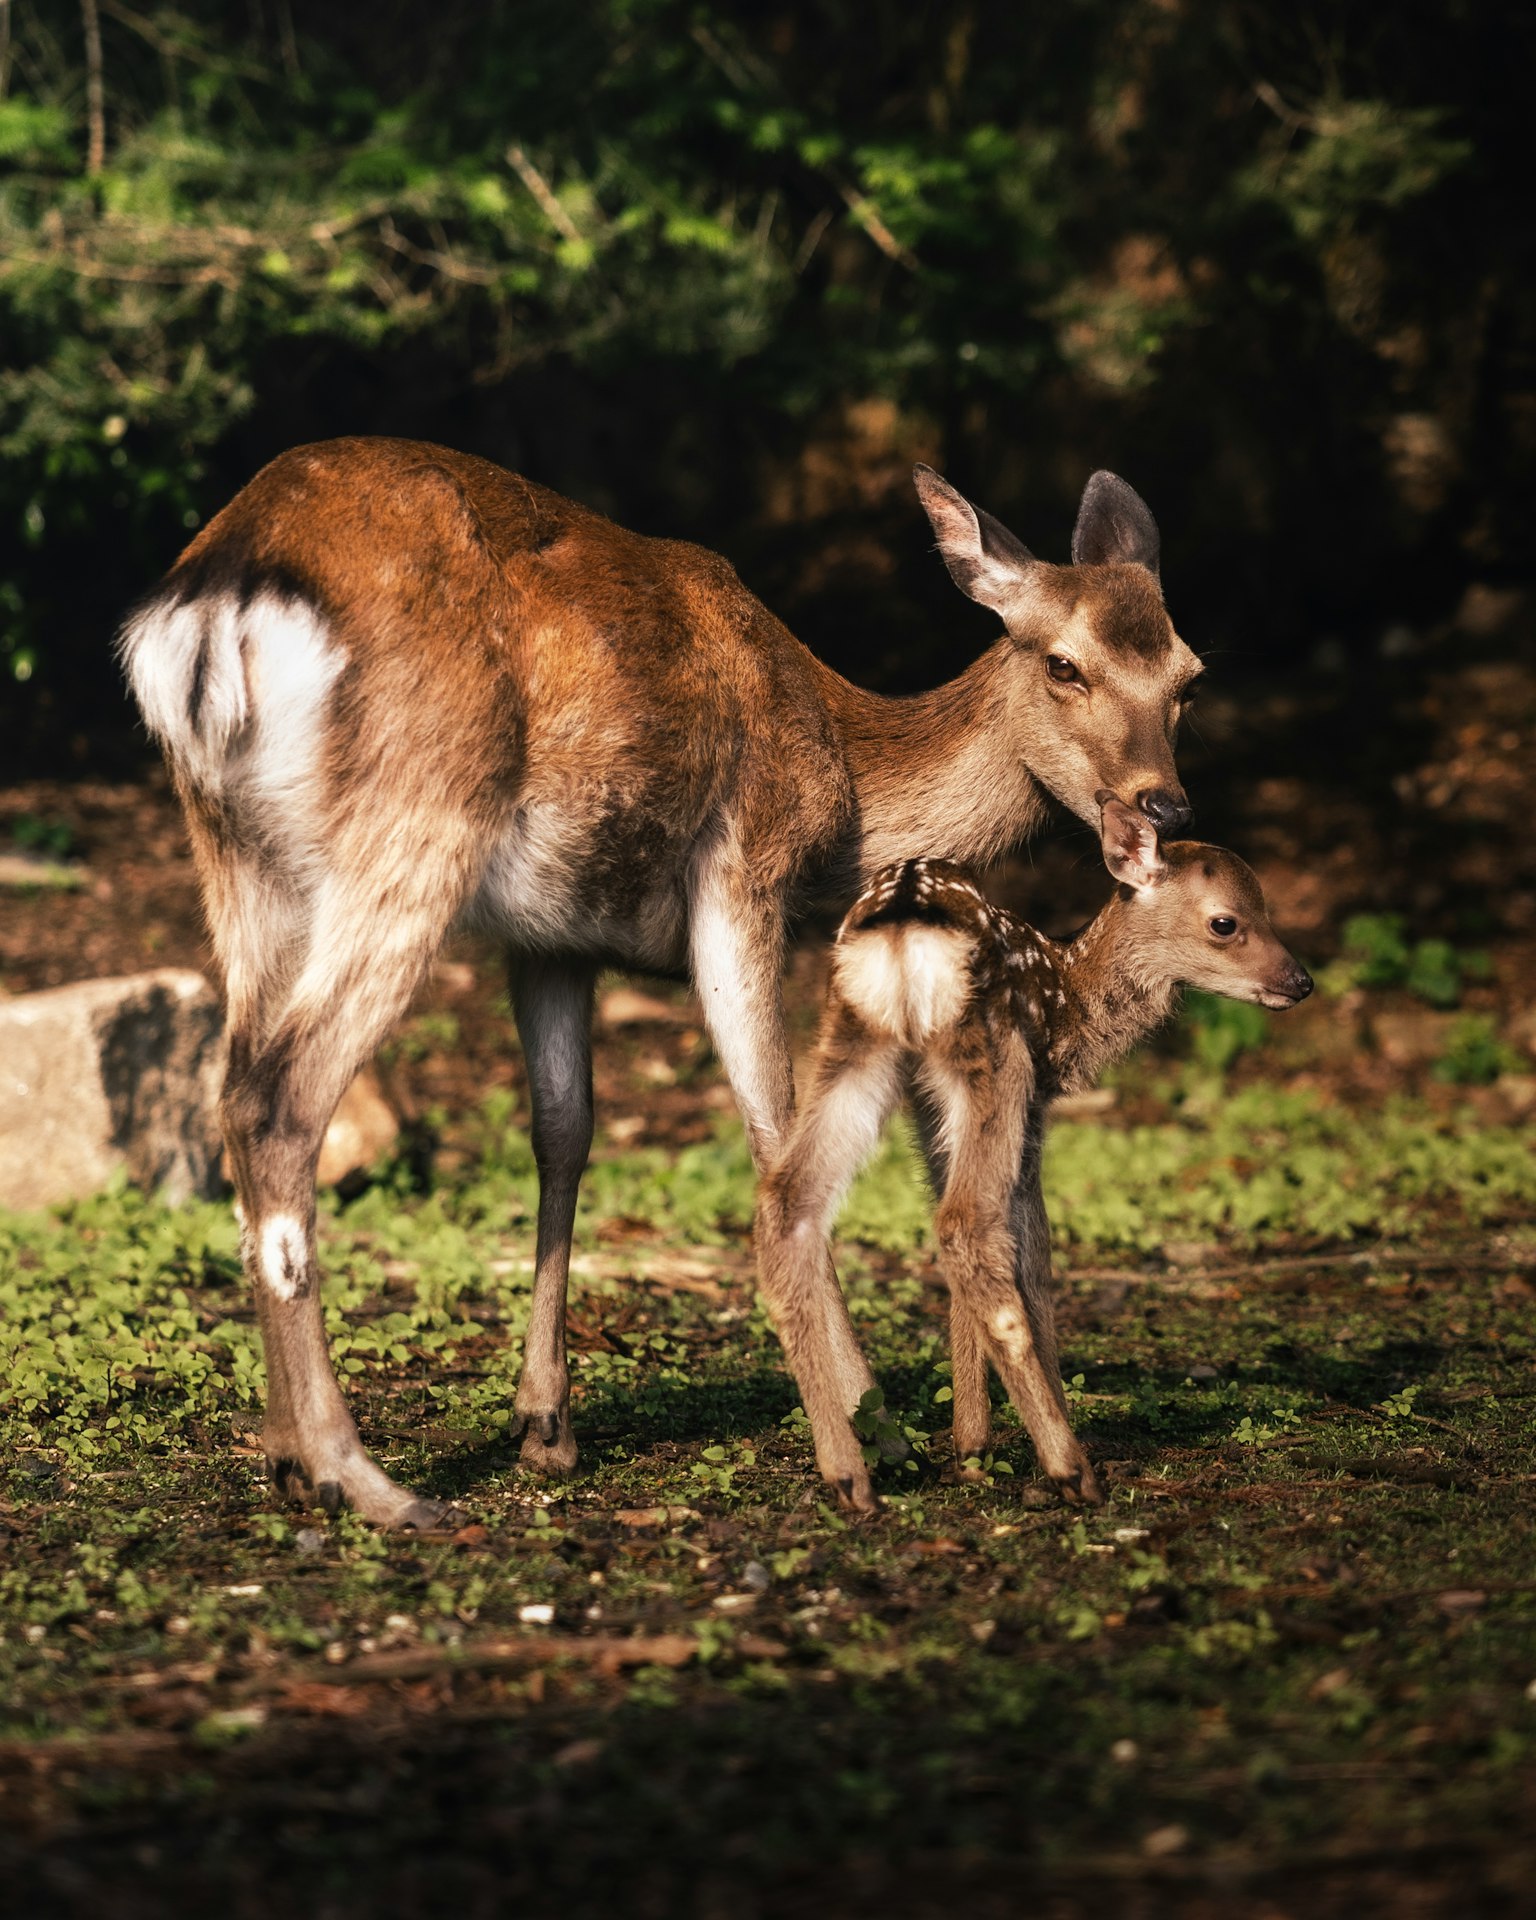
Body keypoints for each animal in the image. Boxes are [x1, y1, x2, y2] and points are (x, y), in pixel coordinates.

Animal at [117, 434, 1202, 1528]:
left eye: (1188, 675)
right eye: (1063, 663)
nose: (1165, 805)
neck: (844, 781)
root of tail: (212, 607)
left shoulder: (549, 939)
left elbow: (564, 1133)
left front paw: (545, 1424)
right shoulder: (744, 866)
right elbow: (773, 1126)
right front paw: (871, 1433)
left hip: (238, 854)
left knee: (235, 1083)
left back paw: (286, 1455)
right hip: (417, 812)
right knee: (280, 1097)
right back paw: (364, 1476)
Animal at [756, 798, 1313, 1510]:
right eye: (1226, 922)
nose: (1300, 981)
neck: (1071, 998)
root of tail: (901, 931)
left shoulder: (927, 1110)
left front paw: (970, 1448)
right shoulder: (1035, 1109)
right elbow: (1034, 1250)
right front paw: (1006, 1439)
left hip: (854, 1042)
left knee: (794, 1201)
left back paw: (850, 1475)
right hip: (998, 1055)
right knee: (968, 1224)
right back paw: (1072, 1469)